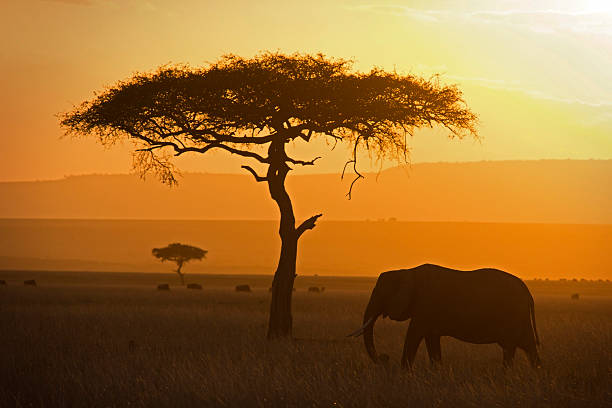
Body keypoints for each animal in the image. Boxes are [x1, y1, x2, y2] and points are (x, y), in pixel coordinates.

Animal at [350, 262, 540, 368]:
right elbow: (431, 339)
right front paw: (436, 371)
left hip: (514, 315)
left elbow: (414, 335)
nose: (385, 358)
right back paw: (534, 373)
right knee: (528, 345)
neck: (406, 272)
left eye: (382, 294)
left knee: (512, 346)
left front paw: (404, 373)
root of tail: (528, 292)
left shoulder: (425, 305)